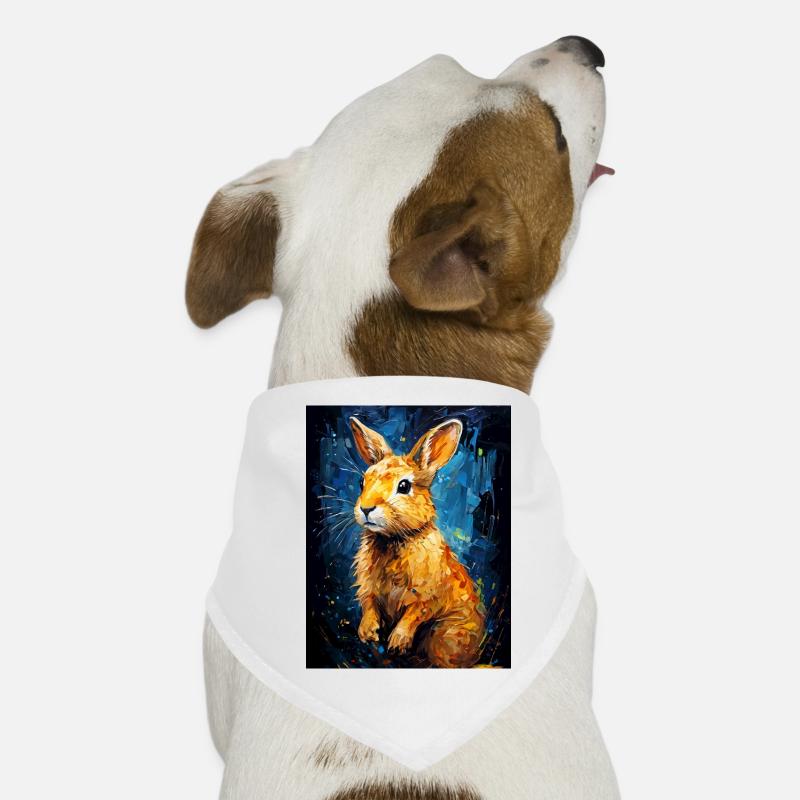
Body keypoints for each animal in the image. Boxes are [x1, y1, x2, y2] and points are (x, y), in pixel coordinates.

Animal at [350, 416, 486, 668]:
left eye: (404, 486)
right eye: (362, 482)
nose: (366, 508)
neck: (395, 538)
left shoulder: (426, 595)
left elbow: (415, 614)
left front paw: (397, 640)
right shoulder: (368, 587)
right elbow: (369, 603)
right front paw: (368, 632)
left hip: (444, 637)